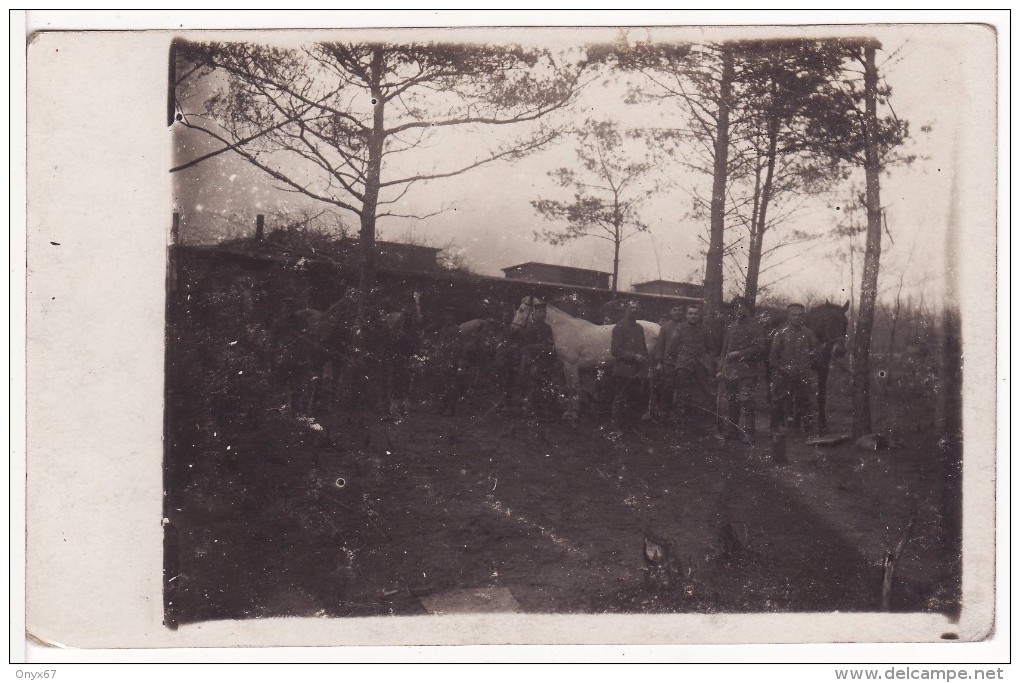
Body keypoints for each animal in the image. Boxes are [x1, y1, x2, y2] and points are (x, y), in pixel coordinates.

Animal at [510, 297, 660, 419]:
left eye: (522, 309)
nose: (513, 329)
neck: (564, 328)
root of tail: (659, 328)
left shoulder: (570, 365)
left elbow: (573, 387)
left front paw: (571, 413)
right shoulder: (566, 365)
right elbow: (571, 387)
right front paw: (574, 410)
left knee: (651, 383)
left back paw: (647, 412)